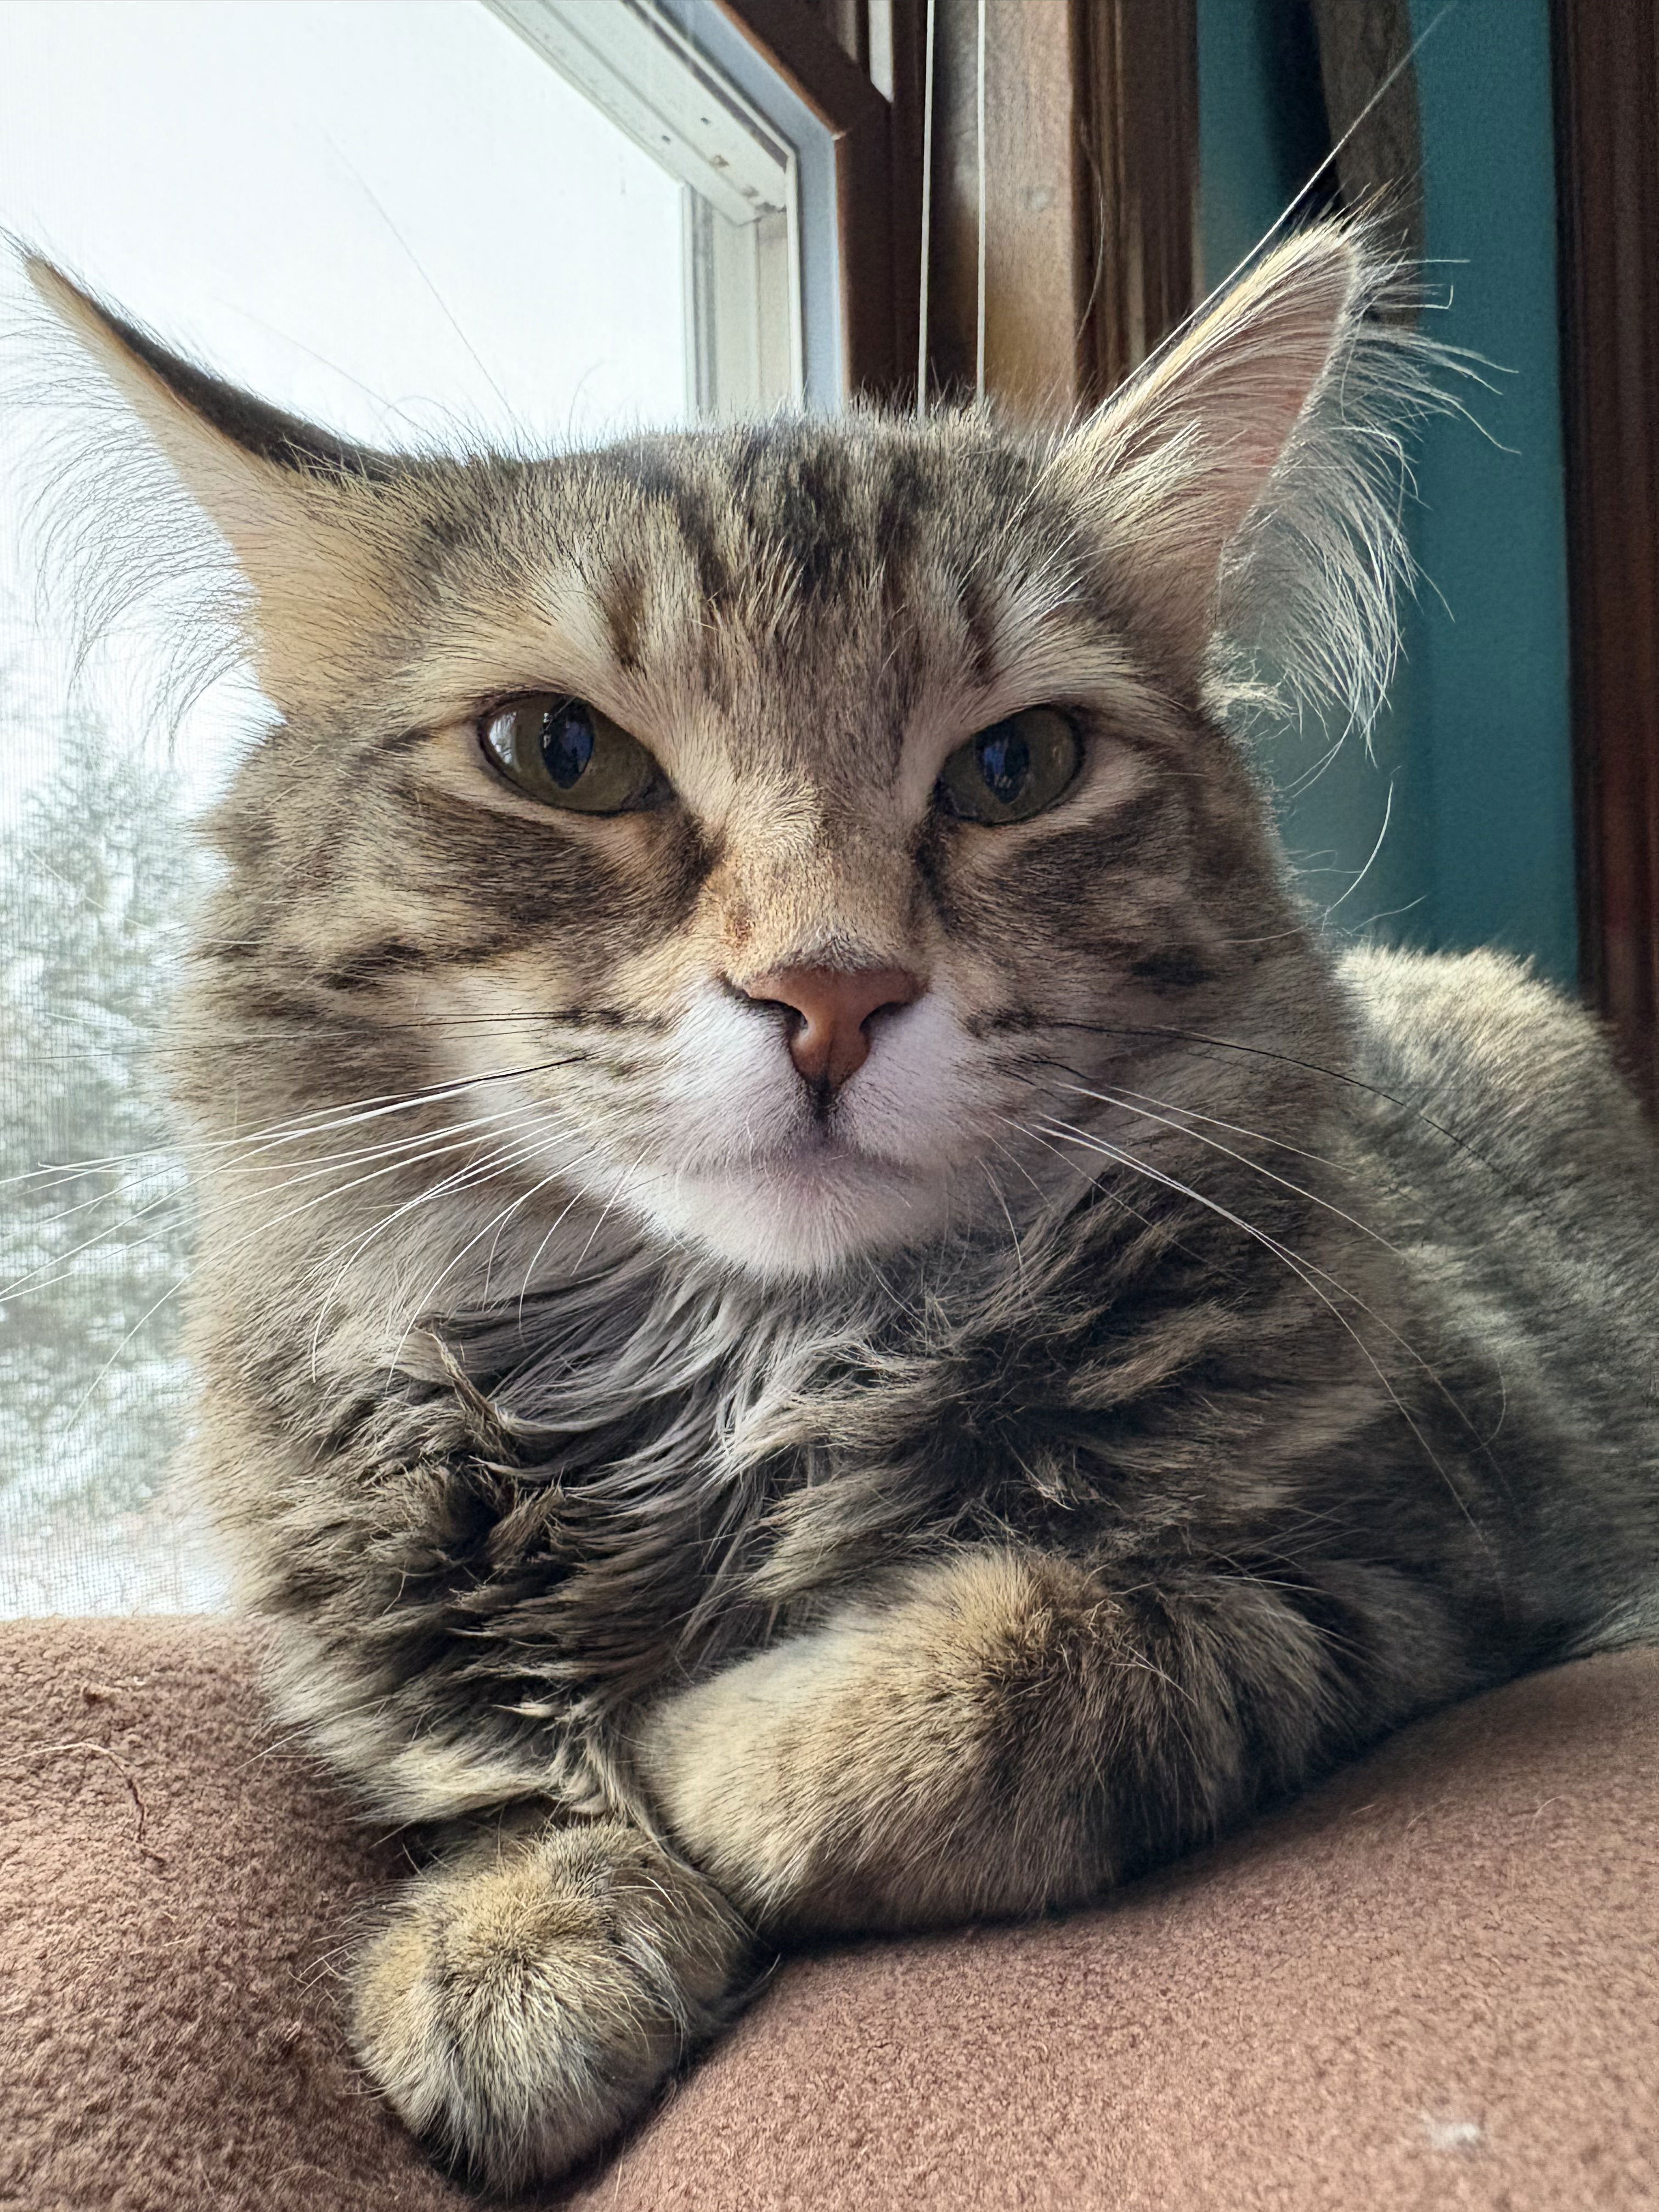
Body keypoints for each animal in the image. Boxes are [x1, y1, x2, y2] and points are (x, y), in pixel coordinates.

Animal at [26, 224, 1659, 2194]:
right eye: (560, 754)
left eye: (1017, 770)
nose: (830, 989)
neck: (748, 1382)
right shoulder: (390, 1655)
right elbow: (505, 1784)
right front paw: (516, 1934)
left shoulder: (1417, 1565)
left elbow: (1025, 1659)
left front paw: (712, 1760)